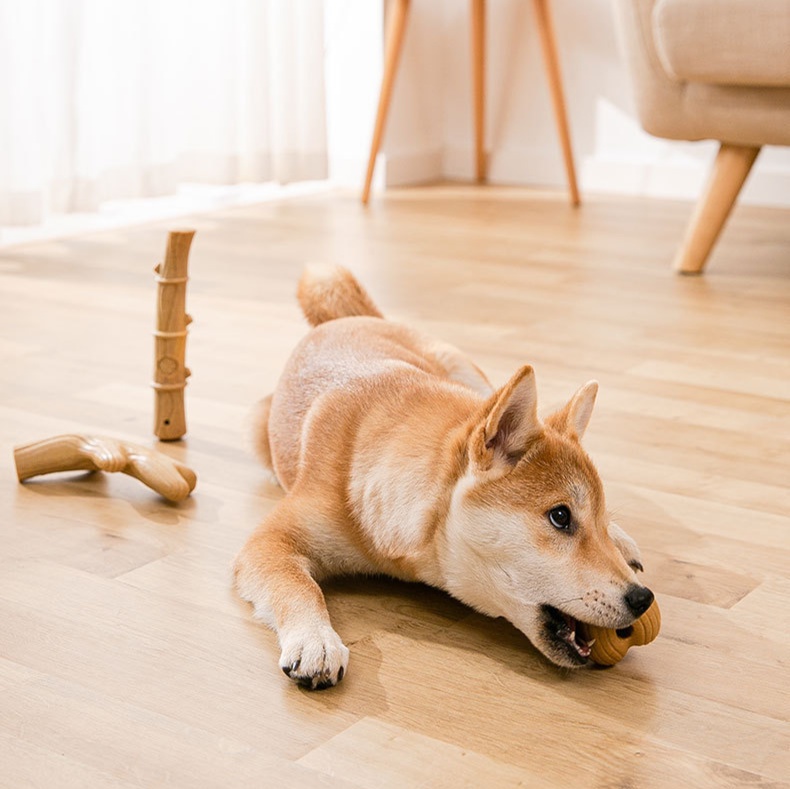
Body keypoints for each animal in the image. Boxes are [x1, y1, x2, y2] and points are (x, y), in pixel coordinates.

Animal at [232, 268, 652, 688]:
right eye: (560, 517)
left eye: (591, 518)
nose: (643, 599)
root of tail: (349, 319)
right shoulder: (269, 541)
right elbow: (299, 586)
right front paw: (315, 639)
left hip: (467, 374)